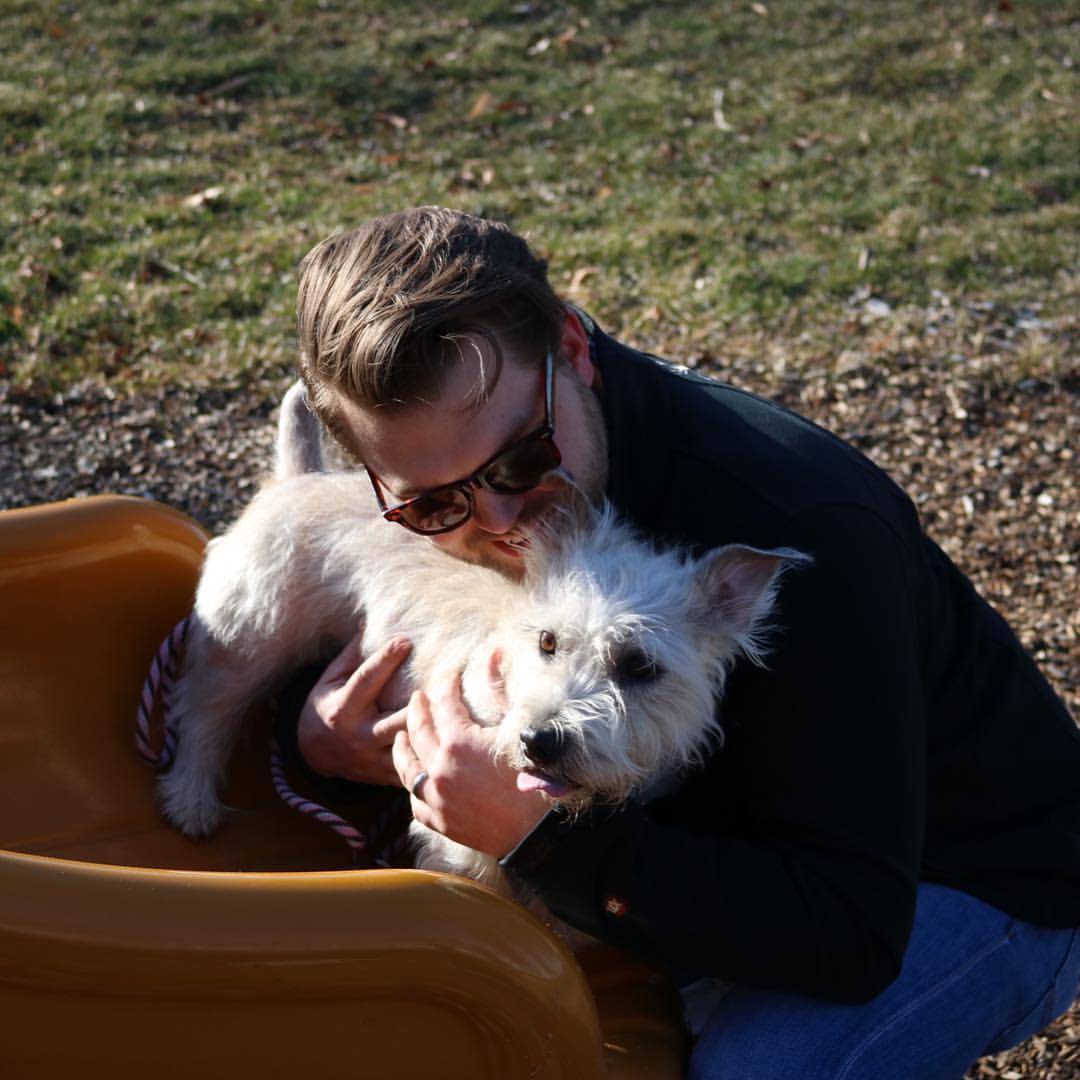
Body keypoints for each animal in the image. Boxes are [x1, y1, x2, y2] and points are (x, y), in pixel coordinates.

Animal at [157, 384, 803, 889]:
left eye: (641, 667)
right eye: (548, 642)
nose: (541, 740)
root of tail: (299, 475)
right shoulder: (459, 847)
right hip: (250, 633)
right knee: (204, 708)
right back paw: (191, 799)